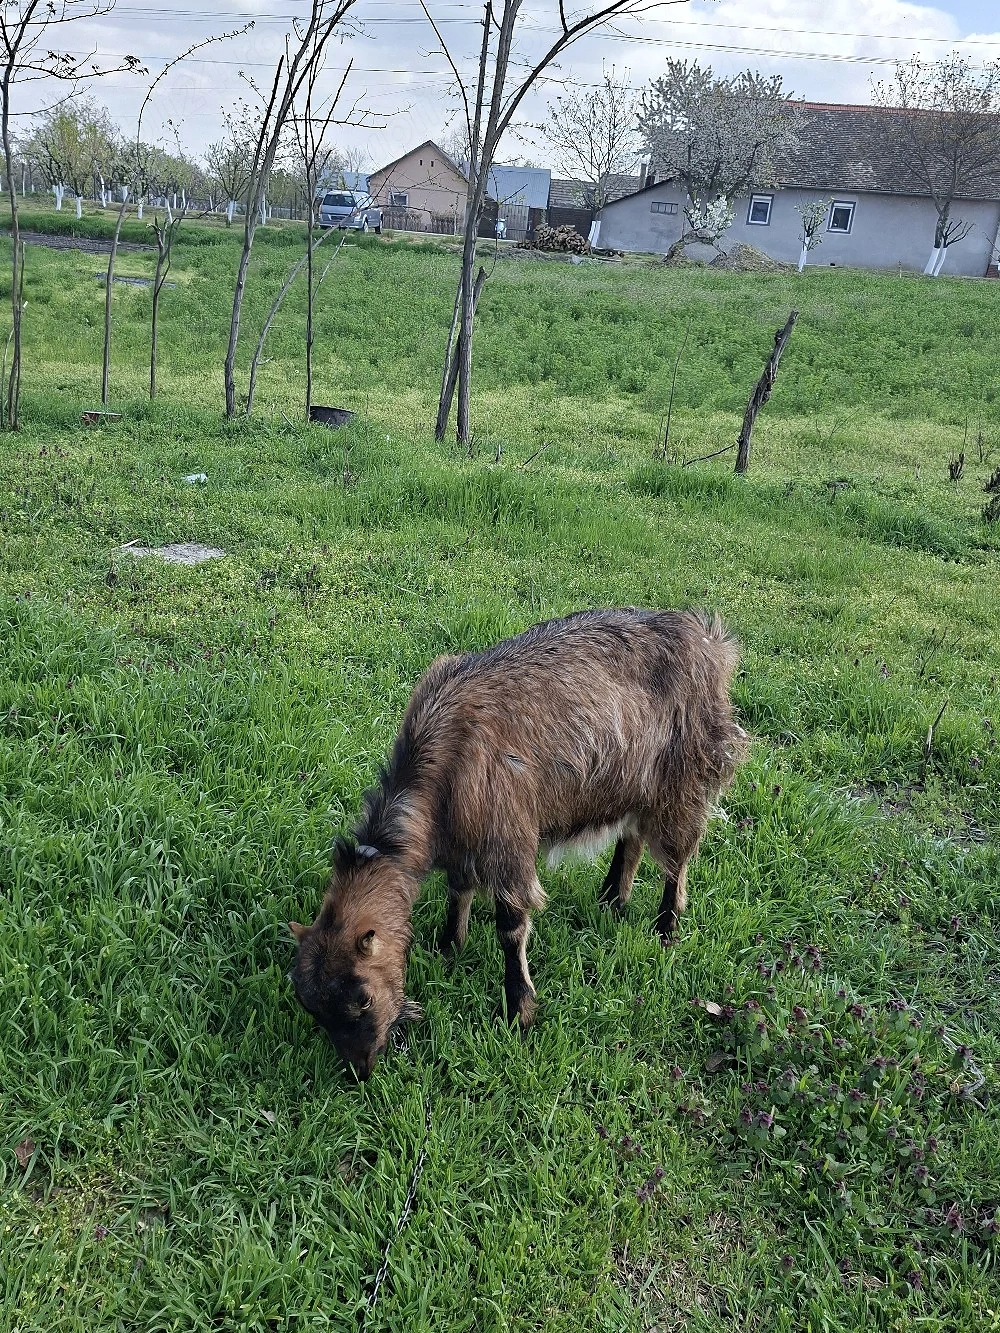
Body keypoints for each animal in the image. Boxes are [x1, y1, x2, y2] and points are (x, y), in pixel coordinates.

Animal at [289, 608, 749, 1079]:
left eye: (361, 998)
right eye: (312, 1008)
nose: (360, 1070)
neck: (445, 757)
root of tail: (710, 640)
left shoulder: (507, 839)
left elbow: (510, 927)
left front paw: (519, 1011)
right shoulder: (463, 845)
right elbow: (459, 893)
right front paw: (448, 949)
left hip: (684, 777)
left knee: (677, 858)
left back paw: (665, 927)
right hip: (632, 783)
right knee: (632, 838)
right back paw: (611, 899)